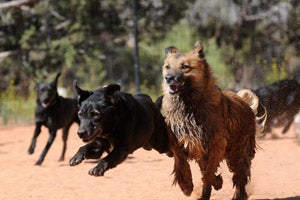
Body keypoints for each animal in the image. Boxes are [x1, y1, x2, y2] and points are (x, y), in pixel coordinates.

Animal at [162, 41, 262, 199]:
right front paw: (186, 184)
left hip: (238, 150)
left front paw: (216, 182)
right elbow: (181, 161)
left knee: (240, 175)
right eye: (167, 66)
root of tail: (245, 104)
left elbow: (208, 172)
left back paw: (239, 194)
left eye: (184, 66)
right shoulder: (181, 140)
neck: (189, 105)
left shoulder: (216, 143)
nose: (168, 78)